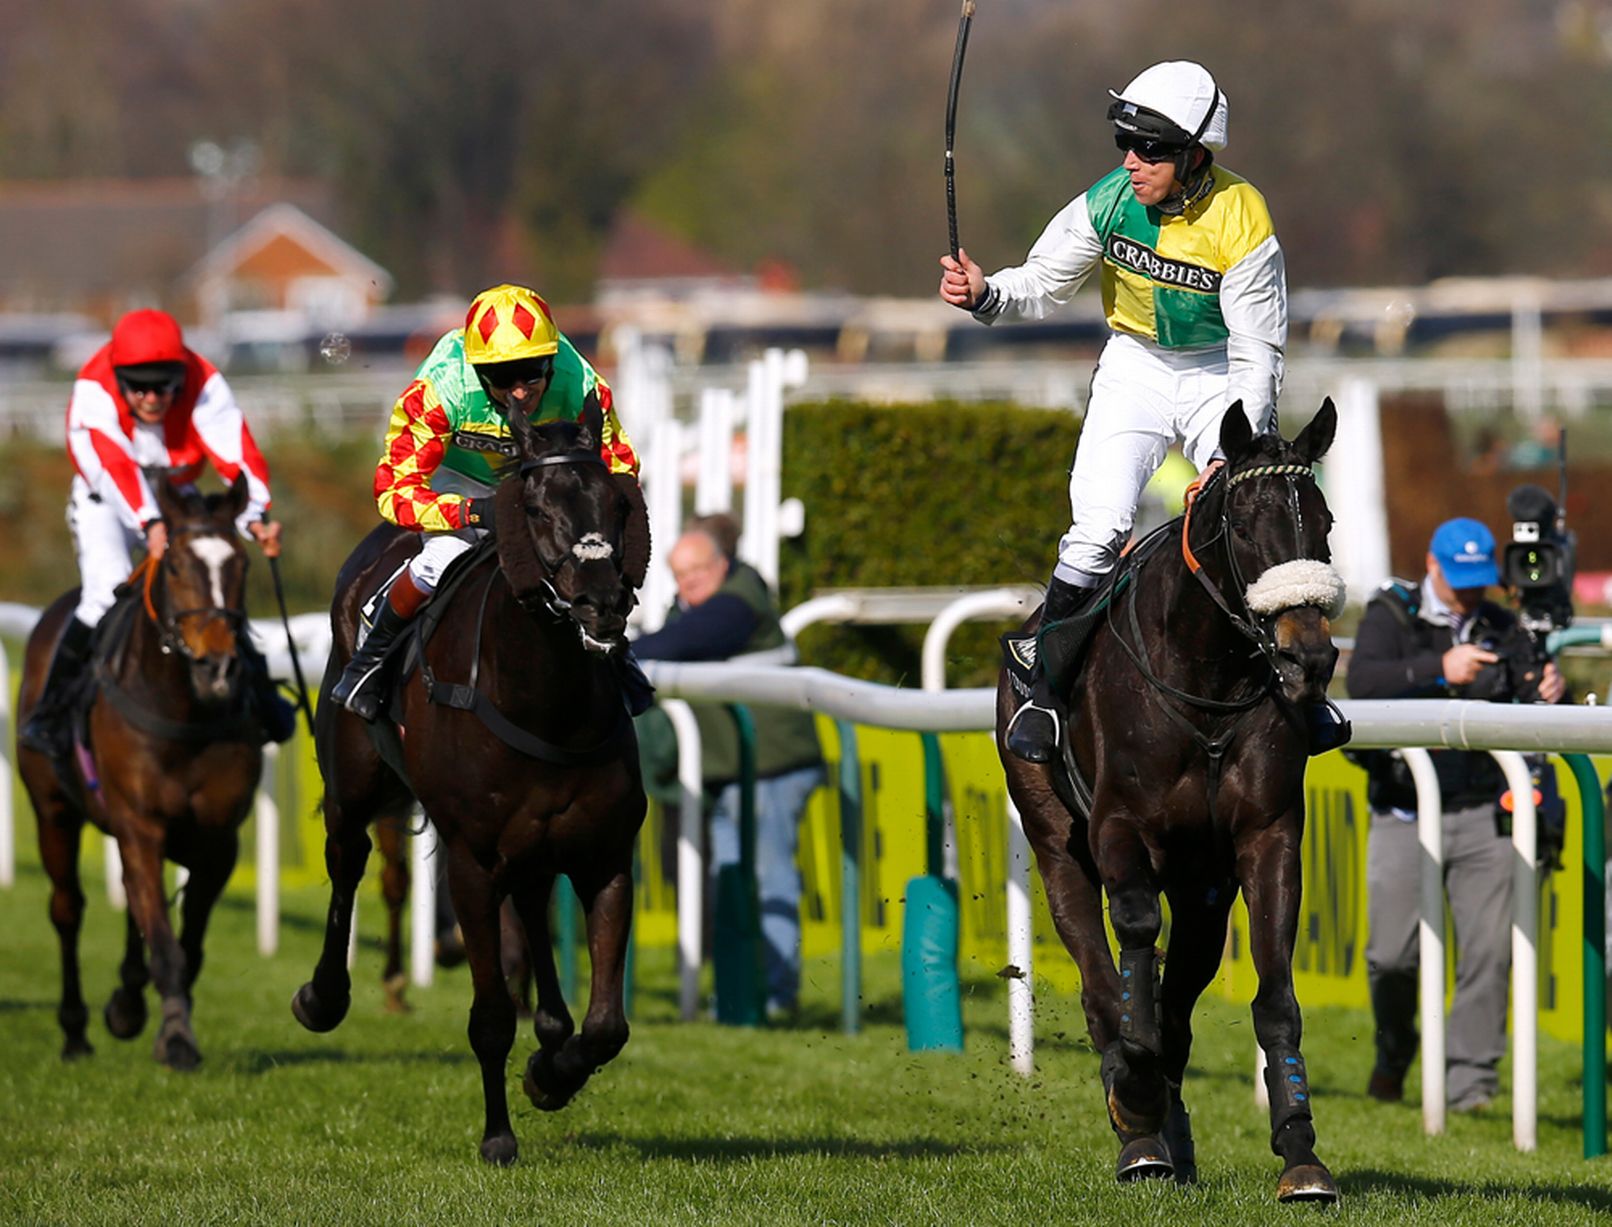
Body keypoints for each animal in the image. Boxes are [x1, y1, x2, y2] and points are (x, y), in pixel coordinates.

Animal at [17, 474, 264, 1070]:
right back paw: (76, 1031)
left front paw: (143, 1011)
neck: (183, 711)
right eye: (173, 564)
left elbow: (185, 943)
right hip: (52, 811)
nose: (217, 667)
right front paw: (176, 1039)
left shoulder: (218, 839)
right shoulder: (140, 823)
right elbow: (166, 943)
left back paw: (125, 1000)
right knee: (67, 909)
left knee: (133, 903)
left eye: (242, 564)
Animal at [293, 406, 644, 1160]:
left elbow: (608, 1025)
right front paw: (498, 1136)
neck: (548, 705)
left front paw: (550, 1074)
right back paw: (323, 996)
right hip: (352, 784)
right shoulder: (470, 863)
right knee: (348, 861)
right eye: (536, 508)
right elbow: (489, 1018)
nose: (601, 604)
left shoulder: (604, 854)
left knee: (533, 901)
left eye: (617, 503)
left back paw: (551, 1032)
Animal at [999, 399, 1354, 1199]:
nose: (1309, 657)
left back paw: (1171, 1127)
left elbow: (1273, 996)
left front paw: (1300, 1150)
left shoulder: (1266, 835)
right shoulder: (1118, 826)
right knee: (1101, 983)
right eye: (1245, 527)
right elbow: (1132, 943)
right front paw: (1134, 1097)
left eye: (1324, 522)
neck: (1209, 683)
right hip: (1053, 839)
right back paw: (1140, 1128)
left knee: (1181, 998)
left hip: (1203, 888)